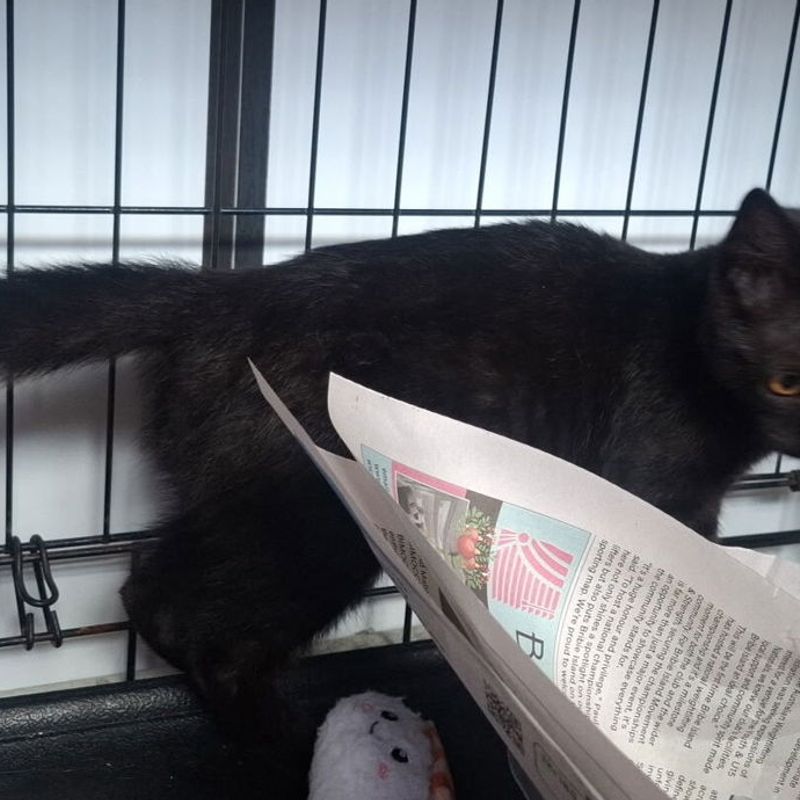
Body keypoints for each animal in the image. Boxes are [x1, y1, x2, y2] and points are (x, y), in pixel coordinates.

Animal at [1, 187, 799, 742]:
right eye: (787, 381)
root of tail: (225, 293)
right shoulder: (651, 493)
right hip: (319, 511)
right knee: (185, 612)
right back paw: (277, 736)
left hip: (248, 498)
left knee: (155, 578)